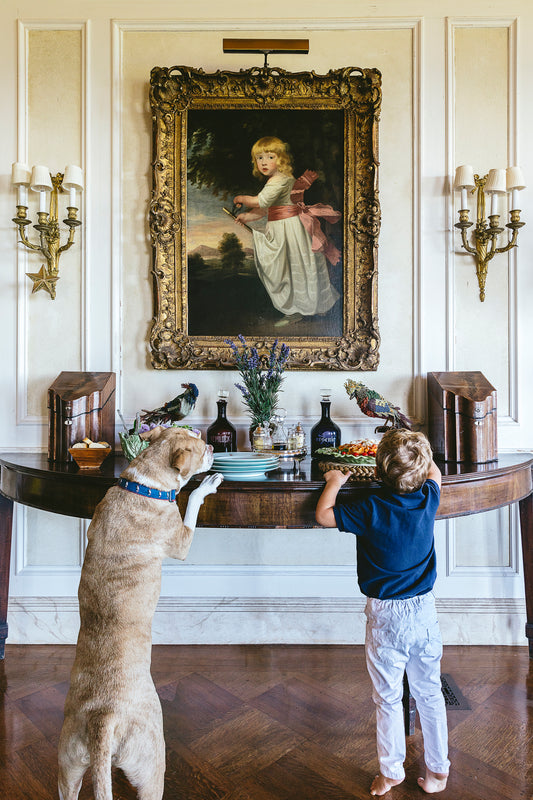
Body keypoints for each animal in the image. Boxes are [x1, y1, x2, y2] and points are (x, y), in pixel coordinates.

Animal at [58, 428, 222, 800]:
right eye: (198, 447)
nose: (212, 444)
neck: (142, 484)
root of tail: (103, 717)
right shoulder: (181, 539)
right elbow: (191, 502)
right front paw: (205, 485)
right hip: (151, 768)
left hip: (68, 767)